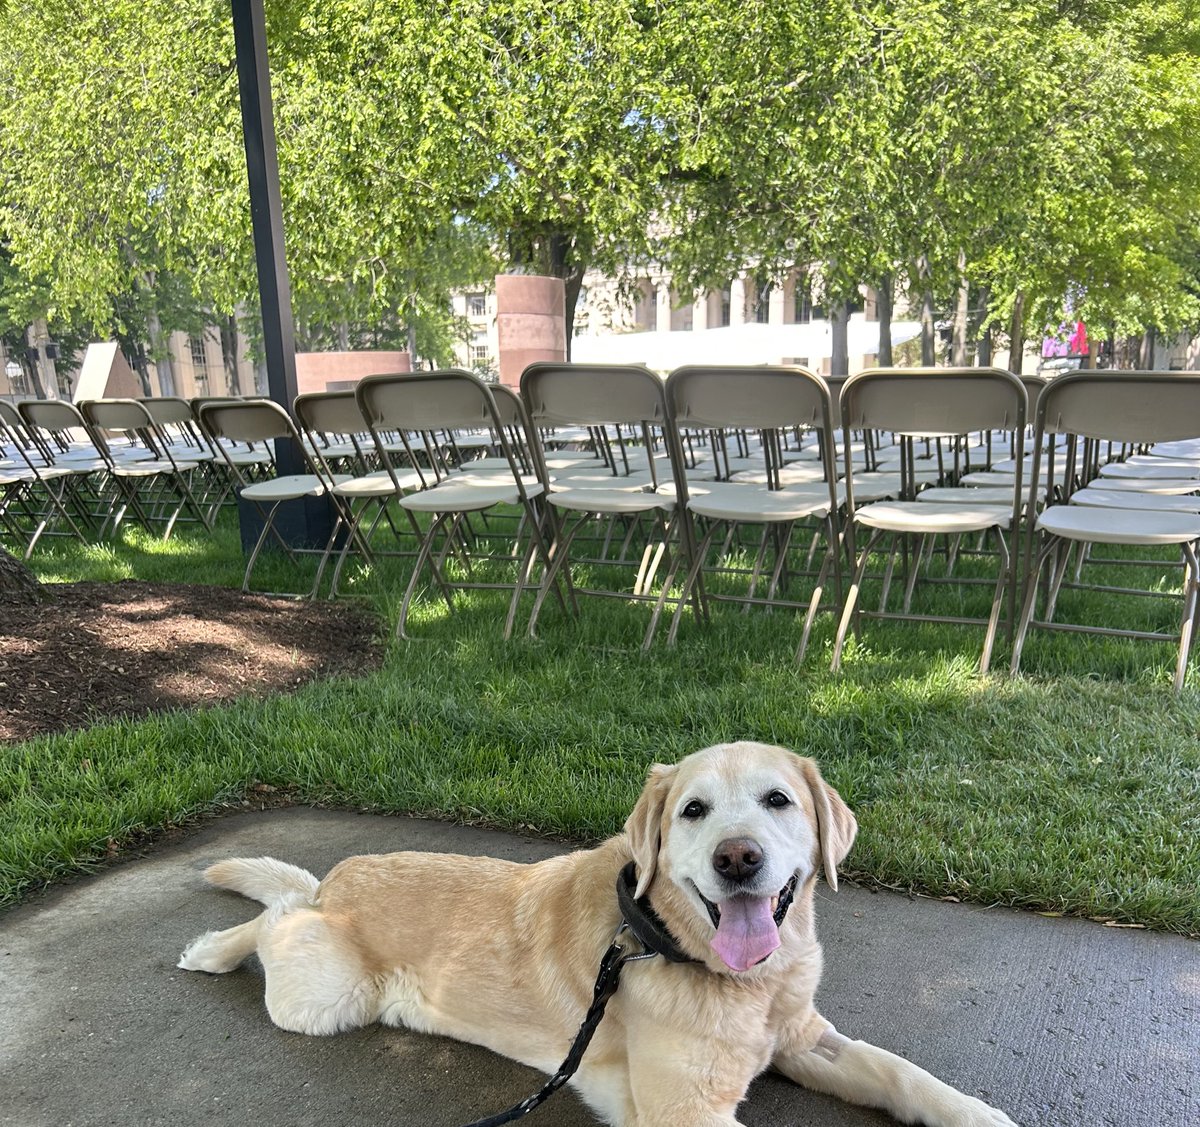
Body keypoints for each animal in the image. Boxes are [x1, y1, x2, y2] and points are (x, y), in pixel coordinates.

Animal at [182, 739, 1017, 1127]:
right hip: (327, 993)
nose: (738, 858)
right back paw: (211, 946)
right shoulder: (687, 1111)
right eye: (693, 810)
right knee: (277, 913)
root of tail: (342, 876)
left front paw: (980, 1114)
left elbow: (904, 1073)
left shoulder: (805, 1037)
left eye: (778, 800)